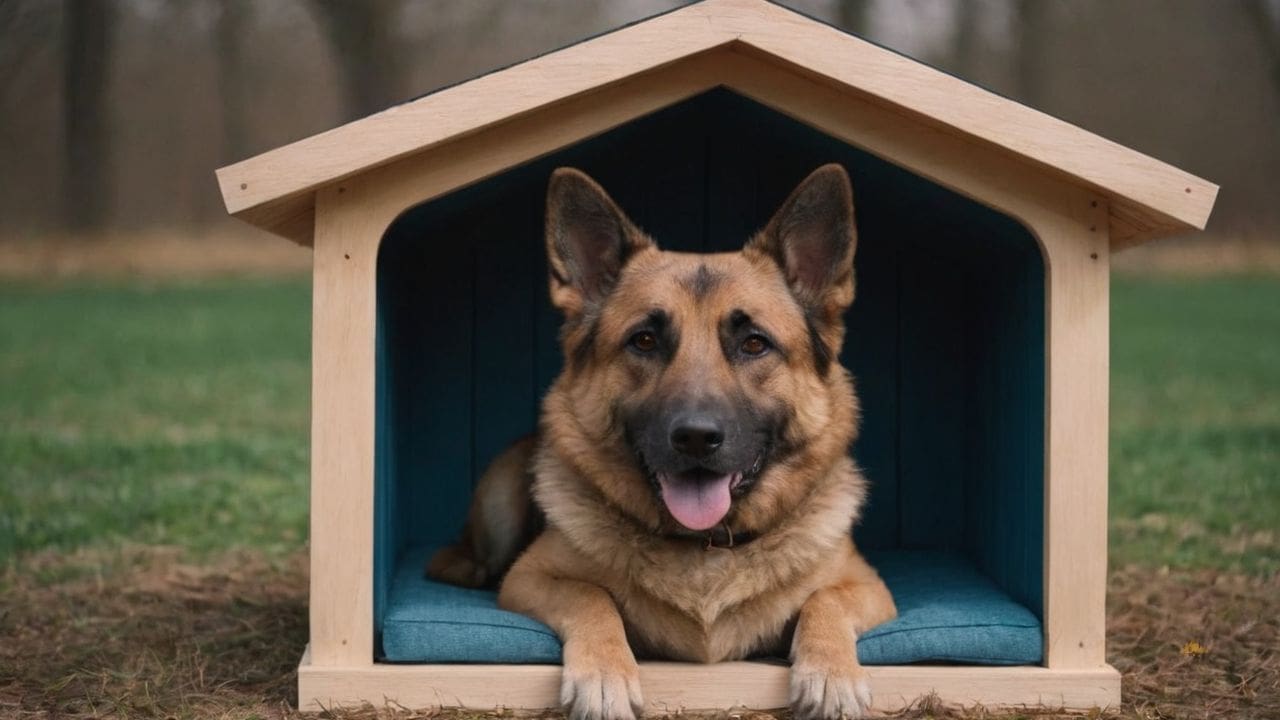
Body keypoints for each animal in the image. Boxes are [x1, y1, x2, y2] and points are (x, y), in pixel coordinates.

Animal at [427, 163, 890, 717]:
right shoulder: (530, 577)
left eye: (754, 344)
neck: (704, 546)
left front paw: (831, 673)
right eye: (644, 341)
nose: (695, 438)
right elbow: (592, 596)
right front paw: (604, 674)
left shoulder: (868, 587)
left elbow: (826, 599)